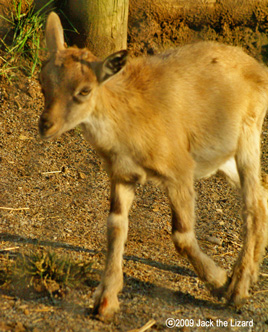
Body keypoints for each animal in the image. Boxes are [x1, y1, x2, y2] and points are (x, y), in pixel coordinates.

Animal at [38, 12, 266, 316]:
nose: (45, 125)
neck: (129, 120)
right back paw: (250, 276)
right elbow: (116, 226)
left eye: (85, 90)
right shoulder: (122, 175)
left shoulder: (179, 169)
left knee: (252, 204)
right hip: (224, 159)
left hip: (249, 135)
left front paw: (219, 282)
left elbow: (181, 235)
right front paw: (106, 302)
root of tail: (259, 68)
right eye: (42, 80)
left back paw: (238, 289)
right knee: (263, 196)